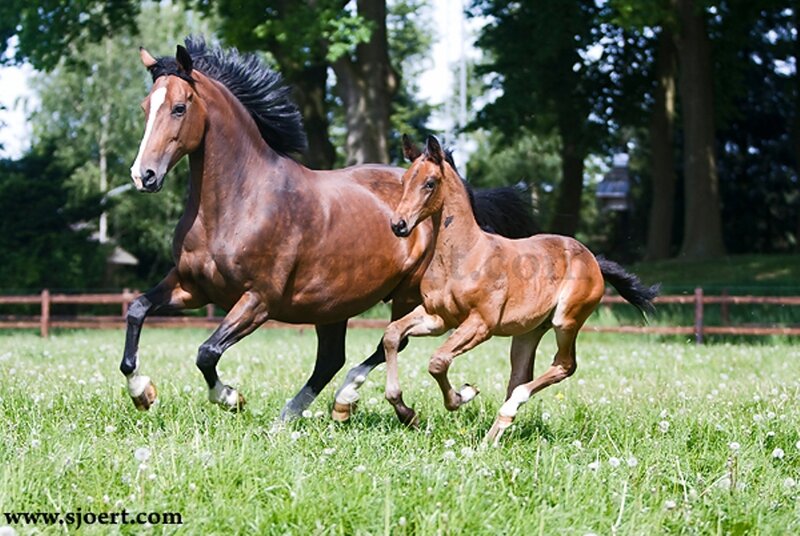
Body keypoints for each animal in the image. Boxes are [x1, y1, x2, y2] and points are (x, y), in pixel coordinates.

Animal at [122, 36, 537, 418]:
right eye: (144, 107)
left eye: (179, 107)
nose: (144, 175)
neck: (238, 203)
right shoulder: (192, 287)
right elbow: (137, 310)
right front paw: (143, 392)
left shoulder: (258, 300)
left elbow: (206, 352)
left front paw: (230, 396)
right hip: (332, 303)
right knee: (332, 359)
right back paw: (295, 414)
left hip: (407, 293)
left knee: (386, 343)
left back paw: (350, 399)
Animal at [378, 135, 659, 444]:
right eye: (404, 180)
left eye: (430, 183)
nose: (398, 225)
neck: (462, 257)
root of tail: (592, 259)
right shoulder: (437, 318)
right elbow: (392, 335)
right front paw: (403, 408)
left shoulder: (480, 324)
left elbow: (438, 361)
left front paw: (463, 395)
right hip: (528, 332)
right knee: (519, 376)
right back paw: (491, 437)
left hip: (566, 321)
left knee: (564, 366)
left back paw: (508, 410)